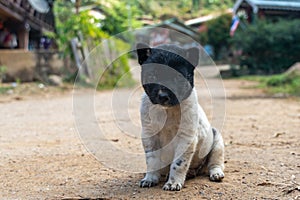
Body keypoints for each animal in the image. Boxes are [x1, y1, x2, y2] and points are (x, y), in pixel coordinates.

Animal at [137, 43, 224, 191]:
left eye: (178, 77)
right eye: (152, 75)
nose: (163, 96)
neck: (167, 111)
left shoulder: (186, 138)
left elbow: (178, 163)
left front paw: (173, 183)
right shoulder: (150, 136)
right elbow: (152, 160)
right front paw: (150, 178)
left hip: (217, 142)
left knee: (215, 163)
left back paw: (216, 173)